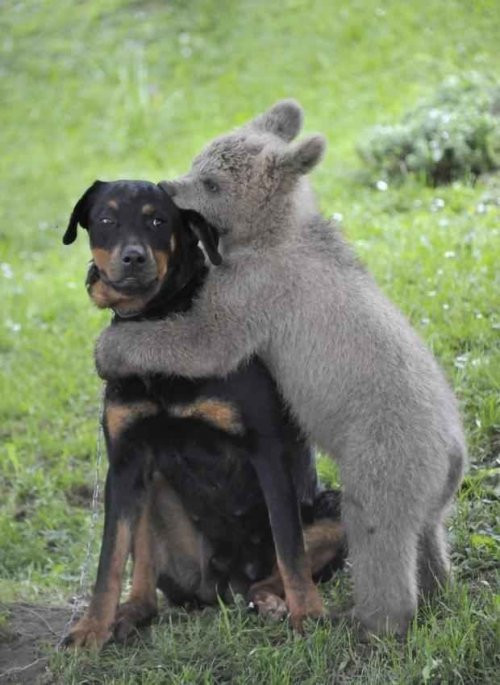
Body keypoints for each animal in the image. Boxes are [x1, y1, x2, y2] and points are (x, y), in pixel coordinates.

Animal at [61, 179, 345, 648]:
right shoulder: (125, 461)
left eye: (159, 220)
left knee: (271, 574)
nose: (134, 257)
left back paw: (273, 601)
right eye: (106, 219)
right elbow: (110, 559)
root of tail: (225, 584)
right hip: (154, 494)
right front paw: (90, 629)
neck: (157, 327)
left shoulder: (265, 450)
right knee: (147, 583)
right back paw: (129, 614)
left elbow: (290, 548)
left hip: (335, 510)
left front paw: (309, 614)